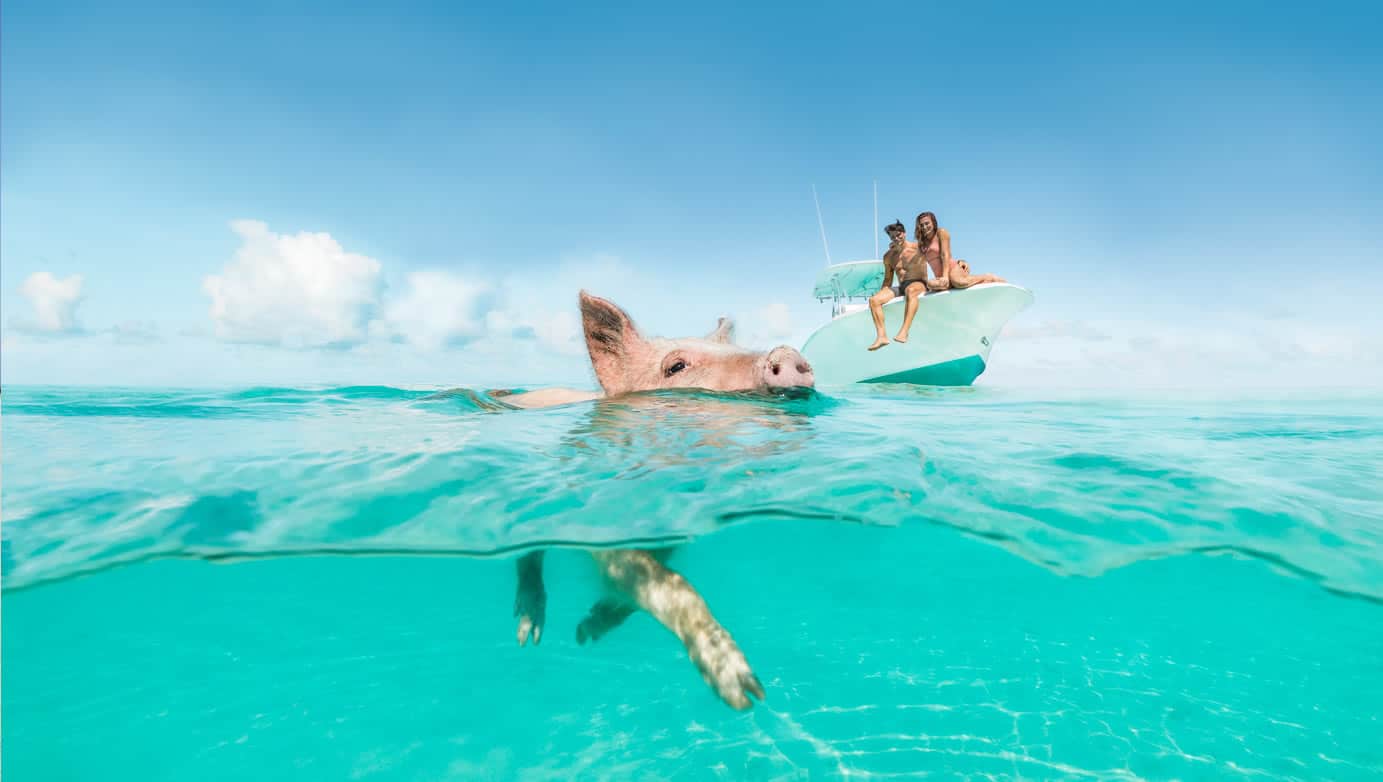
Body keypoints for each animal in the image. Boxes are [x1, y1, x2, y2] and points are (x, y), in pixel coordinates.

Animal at [503, 291, 814, 710]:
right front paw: (745, 692)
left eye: (735, 349)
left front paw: (588, 630)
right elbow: (672, 584)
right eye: (676, 366)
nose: (786, 352)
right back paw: (528, 633)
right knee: (529, 555)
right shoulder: (604, 528)